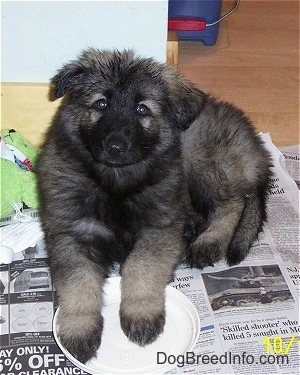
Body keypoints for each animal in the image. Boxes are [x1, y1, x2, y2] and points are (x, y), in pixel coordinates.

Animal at [35, 49, 272, 364]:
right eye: (101, 103)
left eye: (142, 109)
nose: (115, 146)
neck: (116, 183)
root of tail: (256, 149)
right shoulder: (71, 235)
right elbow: (79, 284)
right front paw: (79, 329)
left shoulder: (158, 229)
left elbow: (140, 267)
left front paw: (141, 314)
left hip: (198, 157)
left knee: (232, 202)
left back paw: (208, 242)